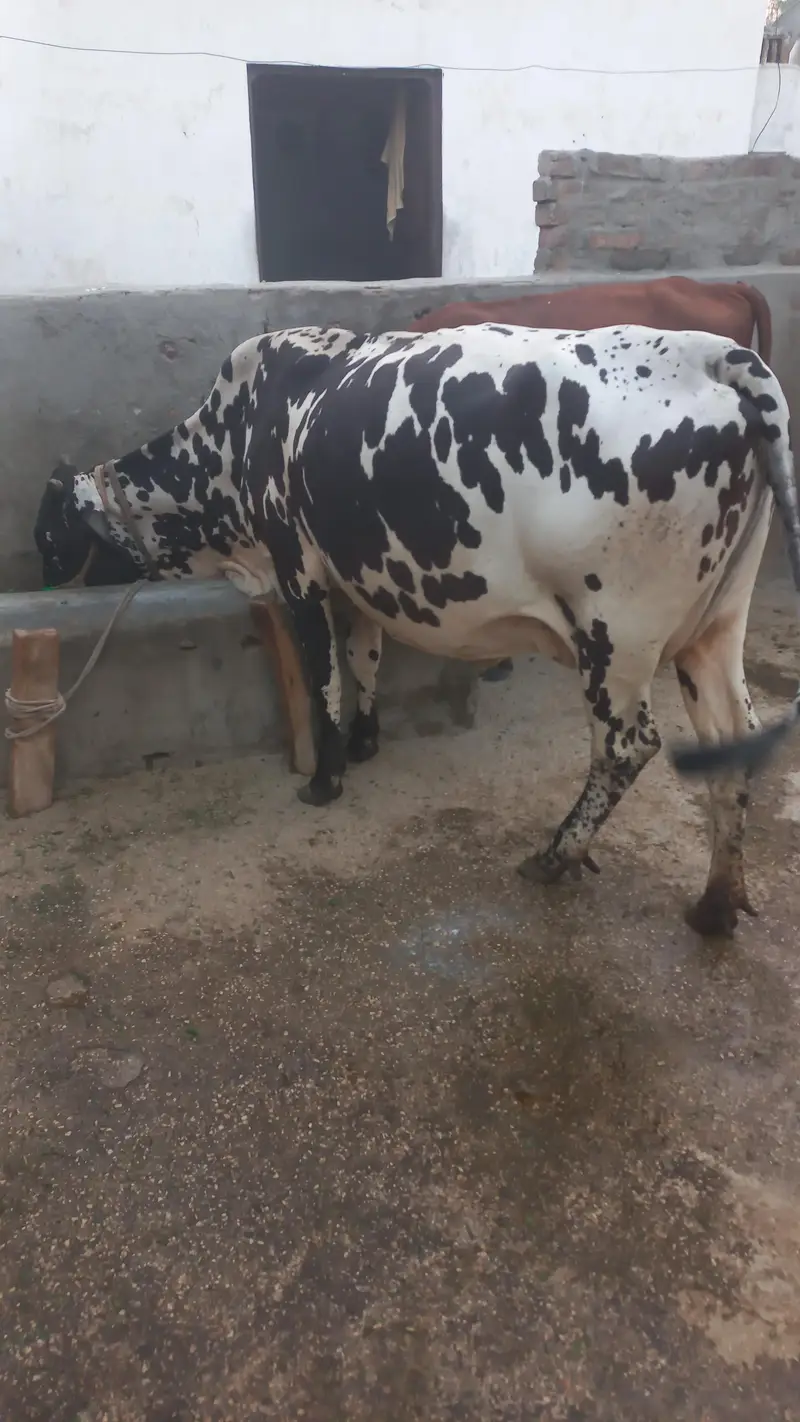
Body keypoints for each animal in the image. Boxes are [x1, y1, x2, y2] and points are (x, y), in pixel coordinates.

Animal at [34, 321, 799, 938]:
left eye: (47, 538)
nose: (43, 585)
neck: (241, 430)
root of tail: (713, 354)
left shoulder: (299, 571)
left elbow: (323, 679)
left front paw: (326, 779)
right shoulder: (355, 579)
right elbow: (364, 657)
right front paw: (367, 742)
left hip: (617, 635)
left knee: (626, 747)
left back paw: (556, 855)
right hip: (713, 628)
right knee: (733, 740)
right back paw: (716, 904)